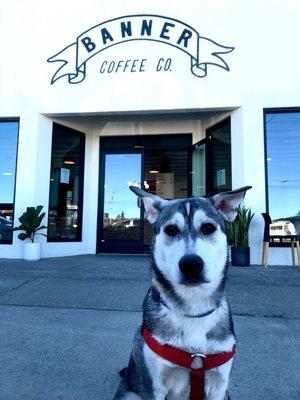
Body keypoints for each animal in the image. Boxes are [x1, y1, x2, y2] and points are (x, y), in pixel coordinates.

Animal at [113, 186, 252, 400]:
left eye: (208, 228)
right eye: (171, 230)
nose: (191, 264)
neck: (193, 309)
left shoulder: (219, 386)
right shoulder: (154, 387)